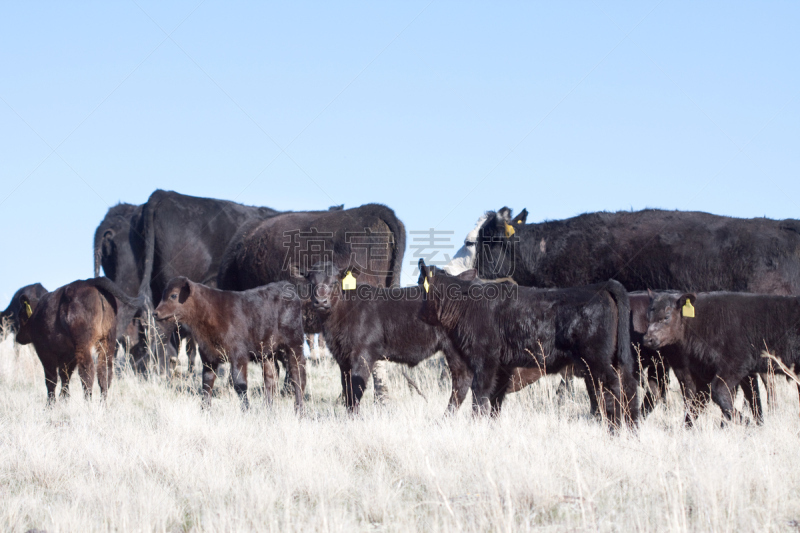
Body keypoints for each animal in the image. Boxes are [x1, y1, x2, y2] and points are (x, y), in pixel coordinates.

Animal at [153, 276, 306, 410]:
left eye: (173, 295)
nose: (155, 313)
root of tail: (285, 286)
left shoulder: (238, 356)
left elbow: (239, 384)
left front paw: (246, 410)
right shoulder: (208, 357)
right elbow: (207, 383)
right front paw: (204, 410)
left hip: (294, 345)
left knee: (297, 375)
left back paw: (299, 411)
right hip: (268, 353)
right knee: (270, 378)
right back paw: (268, 410)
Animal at [304, 260, 468, 414]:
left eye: (335, 282)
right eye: (311, 283)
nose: (321, 302)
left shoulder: (363, 354)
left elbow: (356, 390)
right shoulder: (342, 358)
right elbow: (347, 390)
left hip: (455, 349)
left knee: (462, 382)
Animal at [418, 258, 636, 428]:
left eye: (420, 287)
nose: (420, 315)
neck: (466, 304)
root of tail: (601, 286)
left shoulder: (485, 360)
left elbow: (480, 395)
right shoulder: (503, 366)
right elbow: (495, 399)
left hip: (596, 359)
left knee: (614, 387)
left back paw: (617, 428)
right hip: (608, 360)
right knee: (627, 385)